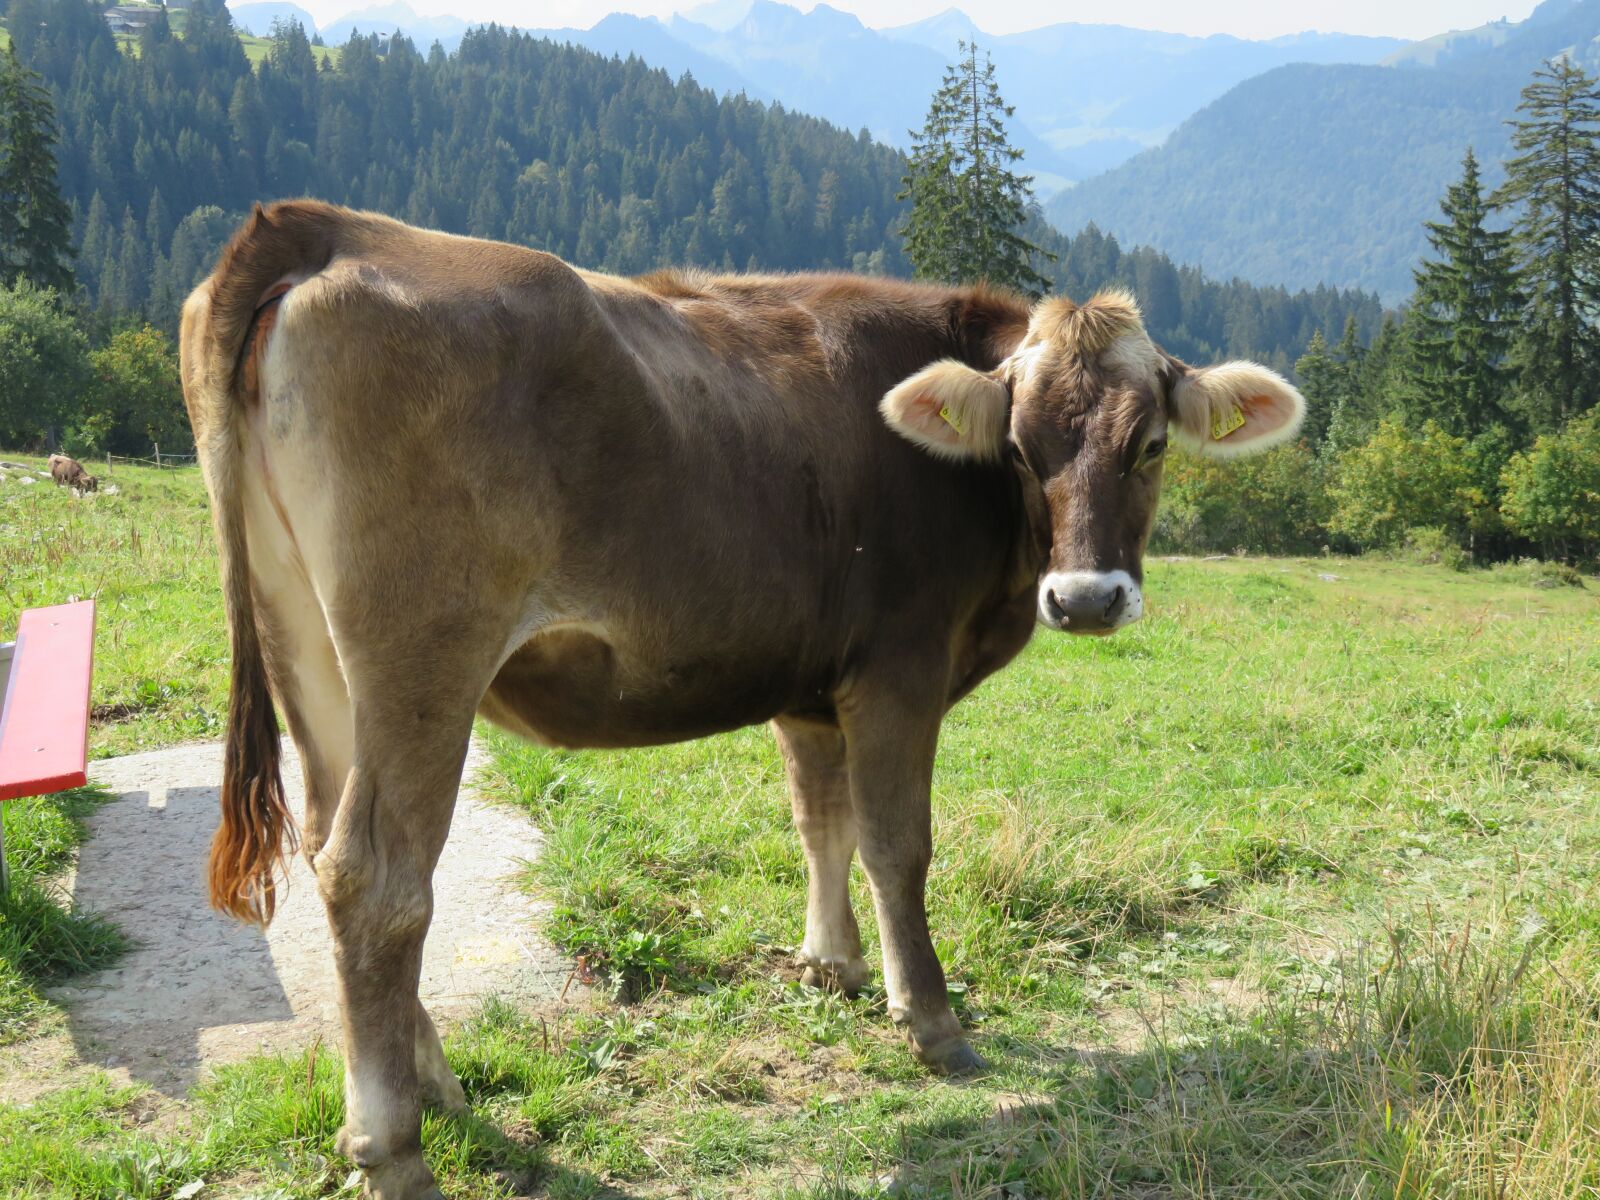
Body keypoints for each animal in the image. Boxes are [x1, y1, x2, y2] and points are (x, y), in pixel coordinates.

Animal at [181, 200, 1299, 1200]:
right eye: (1021, 449)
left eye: (1150, 444)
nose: (1086, 598)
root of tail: (331, 225)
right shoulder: (898, 669)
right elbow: (897, 843)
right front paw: (930, 1021)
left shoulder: (809, 686)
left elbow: (820, 822)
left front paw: (832, 967)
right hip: (421, 652)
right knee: (378, 879)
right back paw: (395, 1149)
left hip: (309, 651)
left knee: (330, 847)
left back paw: (439, 1093)